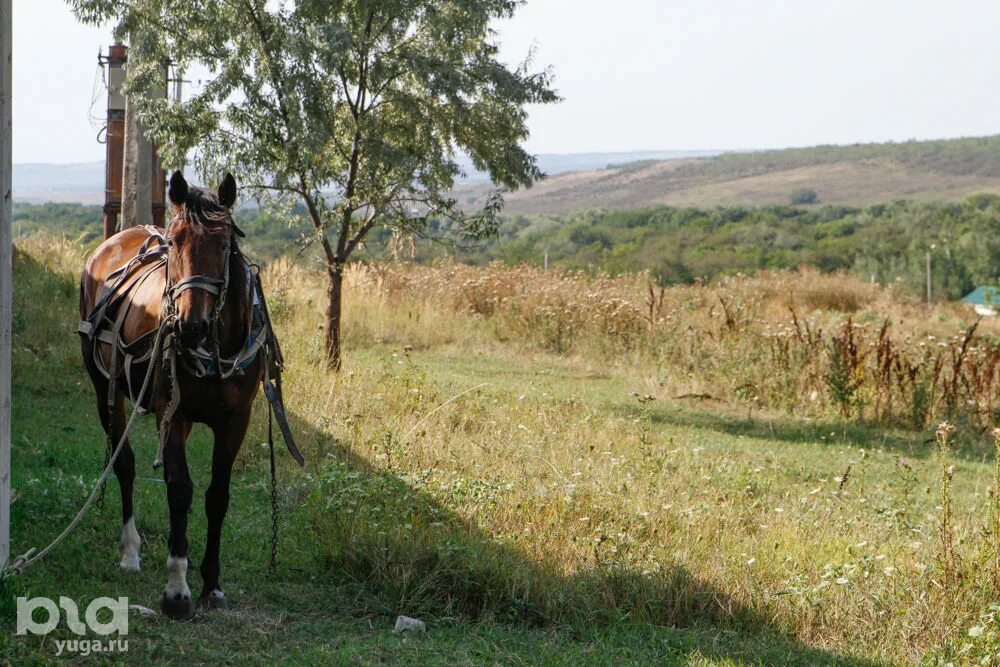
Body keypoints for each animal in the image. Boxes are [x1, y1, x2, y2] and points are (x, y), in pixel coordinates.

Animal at [78, 172, 292, 620]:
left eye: (224, 243)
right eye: (175, 242)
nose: (191, 326)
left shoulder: (236, 419)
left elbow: (217, 495)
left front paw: (212, 583)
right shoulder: (170, 414)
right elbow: (179, 490)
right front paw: (176, 589)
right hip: (104, 389)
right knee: (124, 464)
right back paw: (130, 550)